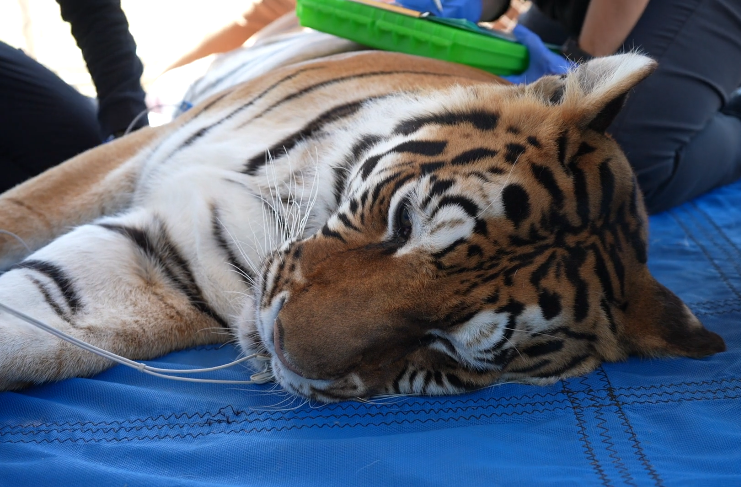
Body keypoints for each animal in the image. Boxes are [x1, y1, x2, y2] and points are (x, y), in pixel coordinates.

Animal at [0, 28, 725, 402]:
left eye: (445, 346)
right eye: (403, 222)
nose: (282, 345)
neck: (289, 202)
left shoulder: (163, 270)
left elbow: (42, 324)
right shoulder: (129, 164)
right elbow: (23, 210)